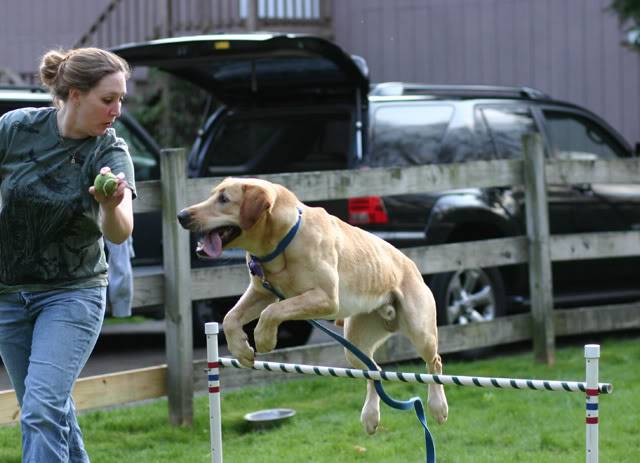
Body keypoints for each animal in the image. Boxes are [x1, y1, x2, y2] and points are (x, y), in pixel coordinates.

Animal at [178, 179, 448, 436]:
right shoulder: (261, 292)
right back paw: (370, 416)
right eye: (212, 195)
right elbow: (230, 317)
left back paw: (438, 406)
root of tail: (412, 266)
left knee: (434, 363)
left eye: (224, 199)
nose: (181, 215)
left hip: (420, 330)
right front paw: (242, 349)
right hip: (356, 342)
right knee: (374, 371)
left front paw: (264, 339)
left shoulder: (325, 298)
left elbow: (271, 312)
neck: (282, 240)